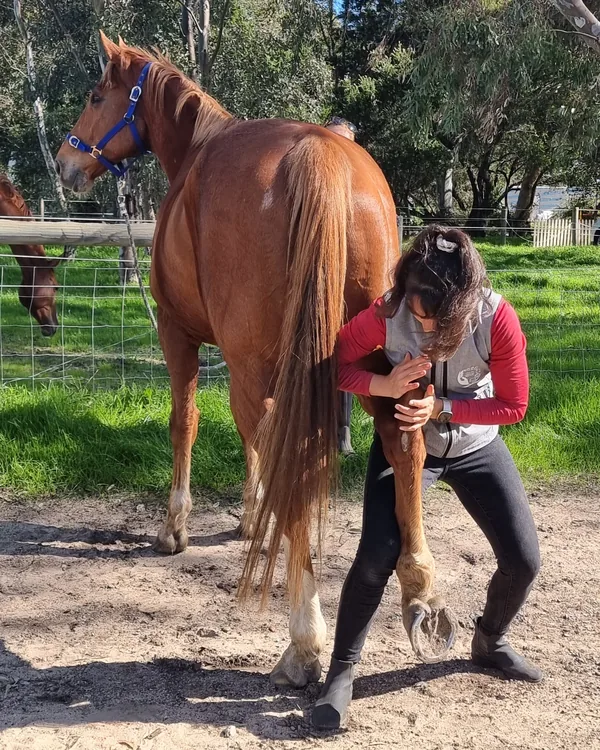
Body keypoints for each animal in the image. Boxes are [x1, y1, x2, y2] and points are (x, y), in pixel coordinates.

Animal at [55, 34, 456, 685]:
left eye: (95, 95)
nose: (67, 163)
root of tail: (321, 153)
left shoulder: (182, 335)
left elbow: (186, 423)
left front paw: (176, 526)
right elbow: (249, 441)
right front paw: (251, 517)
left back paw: (305, 641)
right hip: (378, 359)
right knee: (403, 443)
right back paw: (420, 592)